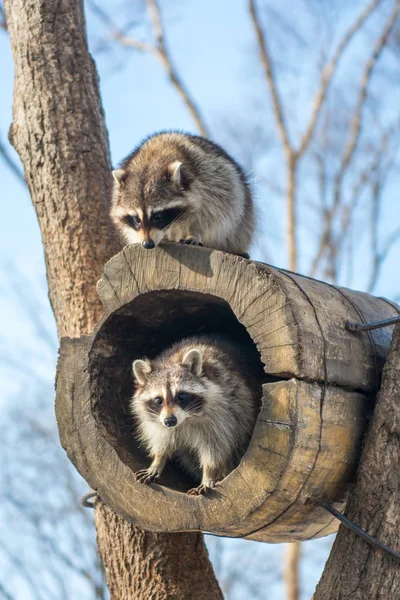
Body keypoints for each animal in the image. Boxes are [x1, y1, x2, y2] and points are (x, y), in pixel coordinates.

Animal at [108, 132, 256, 258]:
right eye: (136, 219)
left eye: (157, 216)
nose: (147, 244)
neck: (152, 159)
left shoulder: (215, 182)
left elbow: (215, 217)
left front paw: (195, 233)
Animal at [130, 336, 262, 494]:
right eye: (158, 400)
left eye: (181, 396)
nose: (170, 421)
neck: (186, 420)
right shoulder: (160, 422)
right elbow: (162, 439)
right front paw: (158, 461)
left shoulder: (224, 415)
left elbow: (215, 447)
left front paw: (209, 473)